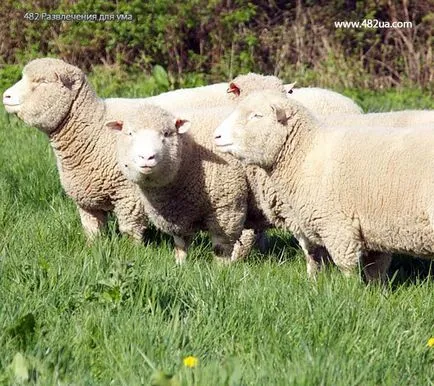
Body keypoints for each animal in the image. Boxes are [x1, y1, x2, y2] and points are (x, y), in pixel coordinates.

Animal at [1, 57, 148, 241]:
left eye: (43, 82)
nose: (6, 95)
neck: (95, 128)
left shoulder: (129, 194)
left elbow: (130, 231)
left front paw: (131, 248)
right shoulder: (86, 198)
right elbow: (93, 230)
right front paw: (95, 246)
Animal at [108, 104, 251, 264]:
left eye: (166, 133)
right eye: (130, 133)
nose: (146, 157)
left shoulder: (227, 207)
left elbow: (221, 247)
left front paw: (222, 268)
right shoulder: (178, 213)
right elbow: (180, 243)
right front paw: (180, 264)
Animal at [214, 90, 434, 282]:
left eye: (257, 115)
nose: (216, 136)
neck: (305, 152)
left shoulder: (338, 227)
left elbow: (347, 268)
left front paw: (351, 291)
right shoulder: (372, 228)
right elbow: (372, 269)